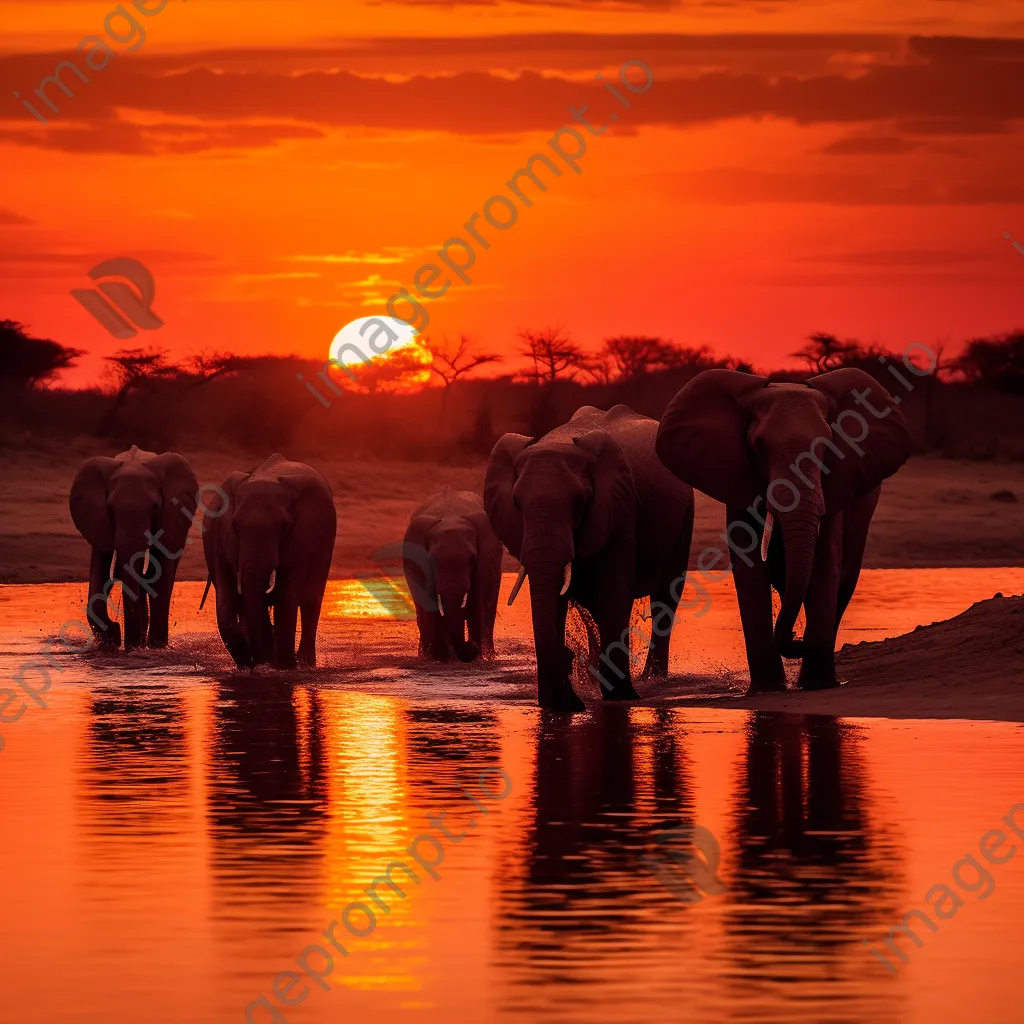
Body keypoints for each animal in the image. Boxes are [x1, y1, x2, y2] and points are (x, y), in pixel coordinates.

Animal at [69, 446, 198, 647]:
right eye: (110, 510)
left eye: (155, 508)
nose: (130, 646)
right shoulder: (98, 522)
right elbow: (100, 571)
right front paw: (113, 640)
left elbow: (158, 576)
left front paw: (154, 648)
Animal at [201, 452, 337, 667]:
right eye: (235, 525)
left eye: (283, 526)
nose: (256, 662)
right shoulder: (219, 538)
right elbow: (227, 599)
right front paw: (255, 662)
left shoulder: (301, 539)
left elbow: (287, 596)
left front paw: (284, 667)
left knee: (311, 602)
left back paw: (303, 664)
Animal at [403, 489, 507, 663]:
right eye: (431, 560)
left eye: (472, 559)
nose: (471, 646)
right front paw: (438, 659)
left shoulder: (486, 558)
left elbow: (478, 600)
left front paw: (478, 658)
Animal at [487, 403, 696, 708]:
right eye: (516, 503)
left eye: (579, 502)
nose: (568, 656)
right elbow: (559, 599)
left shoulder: (620, 508)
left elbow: (613, 593)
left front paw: (621, 697)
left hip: (684, 519)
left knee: (665, 598)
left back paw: (651, 680)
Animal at [655, 368, 913, 696]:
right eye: (757, 446)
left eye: (827, 447)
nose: (797, 640)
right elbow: (749, 566)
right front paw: (768, 689)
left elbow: (825, 561)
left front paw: (816, 685)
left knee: (843, 585)